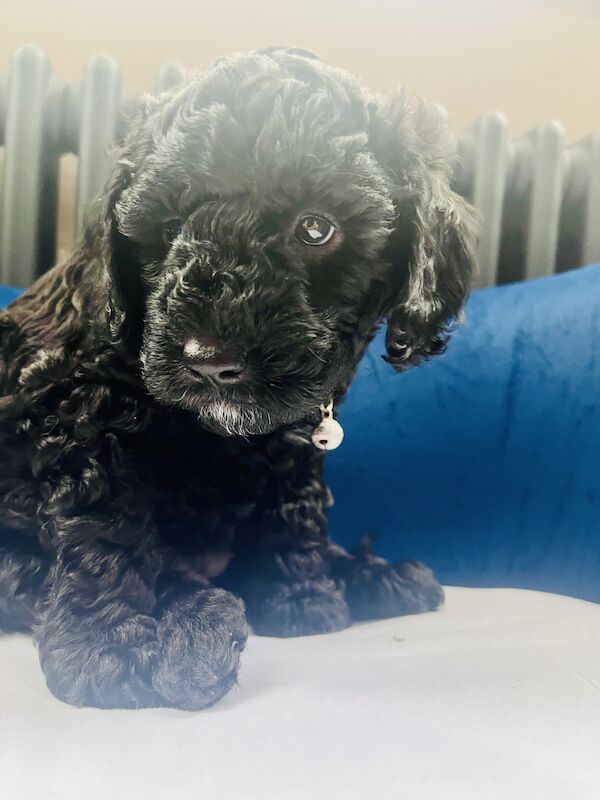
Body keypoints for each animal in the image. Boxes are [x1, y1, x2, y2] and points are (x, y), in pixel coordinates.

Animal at [0, 48, 478, 708]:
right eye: (170, 229)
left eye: (316, 228)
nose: (208, 358)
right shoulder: (82, 420)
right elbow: (104, 529)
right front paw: (108, 652)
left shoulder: (297, 432)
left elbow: (293, 505)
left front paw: (300, 599)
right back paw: (193, 630)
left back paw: (372, 578)